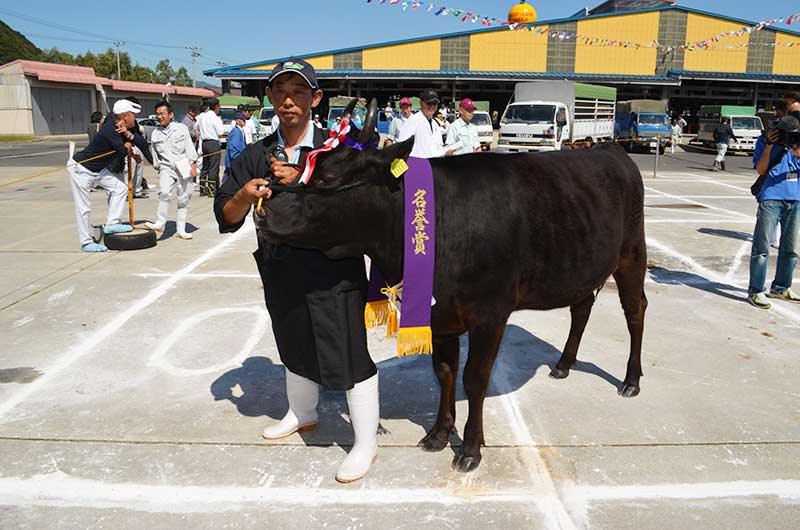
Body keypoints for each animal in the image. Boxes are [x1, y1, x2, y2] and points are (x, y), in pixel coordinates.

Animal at [260, 99, 648, 470]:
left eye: (326, 178)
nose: (264, 212)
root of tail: (611, 149)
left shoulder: (490, 313)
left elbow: (474, 378)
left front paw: (471, 448)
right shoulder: (441, 314)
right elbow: (444, 372)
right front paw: (438, 433)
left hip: (632, 253)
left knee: (635, 311)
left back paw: (631, 381)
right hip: (583, 266)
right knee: (582, 307)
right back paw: (564, 365)